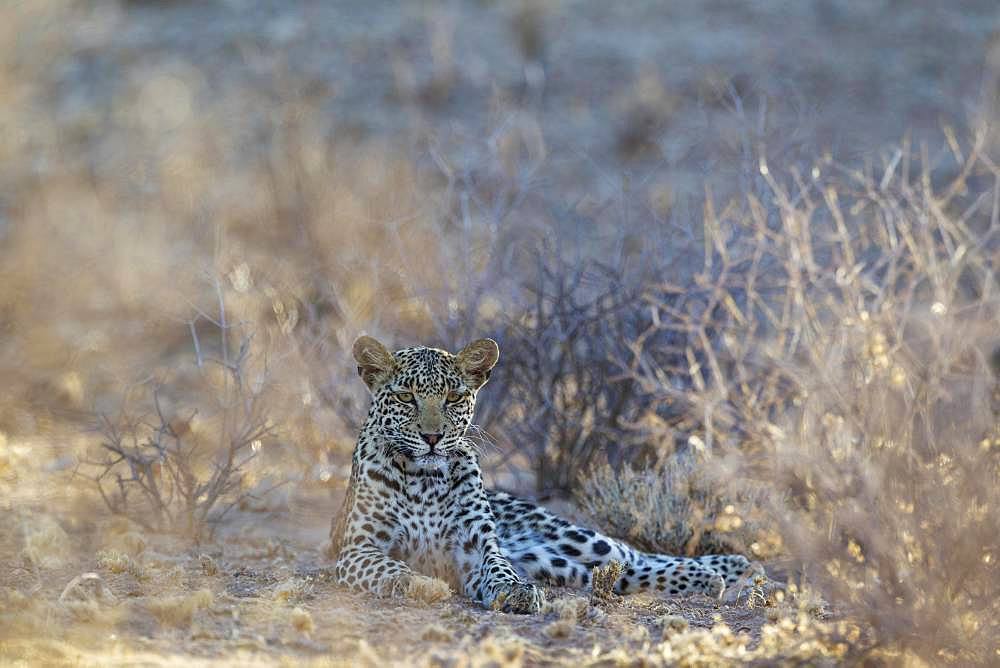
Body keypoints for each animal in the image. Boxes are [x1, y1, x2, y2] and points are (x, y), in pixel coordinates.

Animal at [332, 336, 752, 612]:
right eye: (405, 397)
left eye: (453, 398)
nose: (432, 437)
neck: (424, 478)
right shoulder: (358, 548)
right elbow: (389, 566)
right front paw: (418, 582)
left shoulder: (479, 548)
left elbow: (499, 569)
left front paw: (516, 592)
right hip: (557, 563)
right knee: (624, 574)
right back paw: (711, 577)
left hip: (573, 537)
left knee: (634, 555)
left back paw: (727, 566)